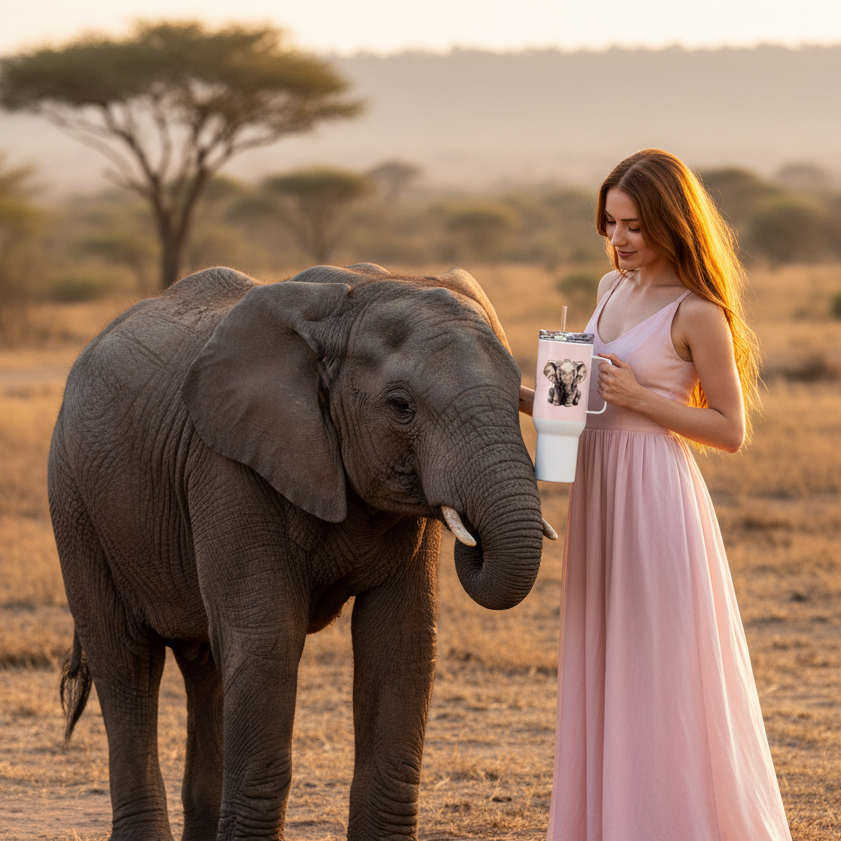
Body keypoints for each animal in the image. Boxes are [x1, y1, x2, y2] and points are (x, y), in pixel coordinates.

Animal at [48, 263, 555, 841]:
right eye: (401, 407)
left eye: (520, 396)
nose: (473, 536)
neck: (352, 301)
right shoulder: (228, 465)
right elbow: (268, 642)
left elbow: (400, 642)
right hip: (74, 501)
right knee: (126, 660)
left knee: (207, 668)